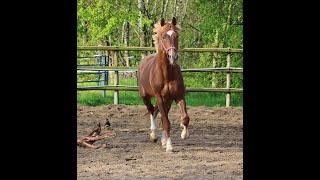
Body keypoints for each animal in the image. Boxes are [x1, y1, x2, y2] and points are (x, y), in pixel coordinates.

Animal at [138, 17, 190, 152]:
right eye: (163, 37)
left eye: (177, 35)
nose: (173, 56)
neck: (167, 74)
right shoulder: (159, 97)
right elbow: (166, 122)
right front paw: (170, 146)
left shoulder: (178, 96)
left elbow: (185, 118)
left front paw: (184, 134)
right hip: (146, 97)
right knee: (151, 110)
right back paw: (153, 135)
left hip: (168, 100)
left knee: (160, 115)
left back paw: (163, 141)